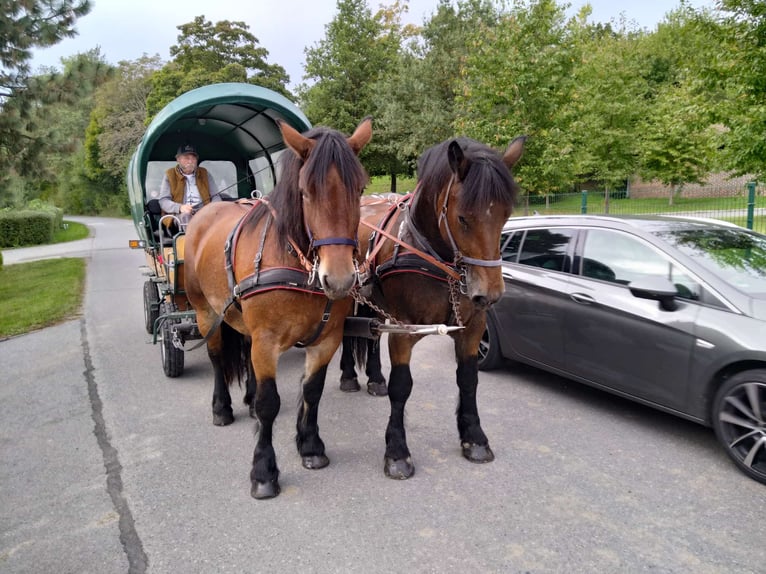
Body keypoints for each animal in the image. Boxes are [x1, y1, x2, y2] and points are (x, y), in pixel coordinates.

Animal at [188, 117, 376, 500]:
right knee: (217, 359)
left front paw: (311, 446)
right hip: (206, 313)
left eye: (360, 189)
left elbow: (312, 391)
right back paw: (222, 407)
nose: (338, 279)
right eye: (305, 192)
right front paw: (263, 471)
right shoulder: (267, 341)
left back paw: (246, 397)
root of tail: (207, 211)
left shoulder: (327, 339)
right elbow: (269, 403)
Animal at [348, 134, 528, 476]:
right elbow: (402, 386)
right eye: (462, 218)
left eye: (506, 215)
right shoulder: (404, 330)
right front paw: (397, 452)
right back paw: (348, 377)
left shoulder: (472, 326)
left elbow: (468, 379)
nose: (490, 294)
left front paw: (474, 438)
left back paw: (374, 378)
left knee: (371, 335)